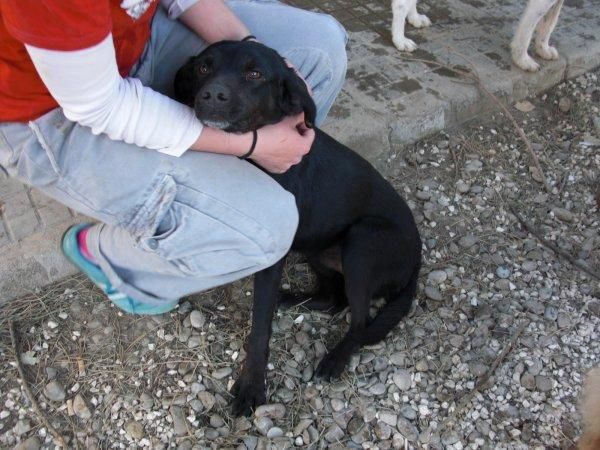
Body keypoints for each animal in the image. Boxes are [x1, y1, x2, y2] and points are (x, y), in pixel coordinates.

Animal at [173, 40, 422, 416]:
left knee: (360, 321)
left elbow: (260, 329)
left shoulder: (273, 254)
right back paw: (292, 298)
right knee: (334, 299)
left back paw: (335, 358)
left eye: (255, 73)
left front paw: (252, 387)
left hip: (363, 241)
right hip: (320, 249)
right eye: (204, 67)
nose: (212, 94)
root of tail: (419, 259)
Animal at [392, 0, 564, 71]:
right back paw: (399, 40)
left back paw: (414, 18)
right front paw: (522, 60)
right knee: (400, 5)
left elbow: (550, 22)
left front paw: (543, 49)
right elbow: (527, 31)